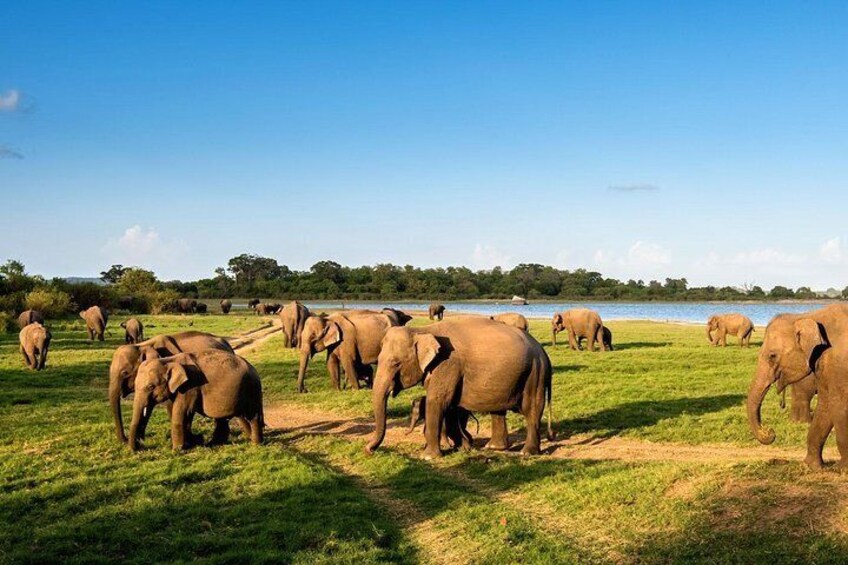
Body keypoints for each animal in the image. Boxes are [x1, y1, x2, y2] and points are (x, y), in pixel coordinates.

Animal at [127, 350, 262, 452]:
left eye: (150, 387)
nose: (140, 447)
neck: (168, 360)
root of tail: (254, 369)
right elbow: (183, 414)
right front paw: (192, 443)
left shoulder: (190, 386)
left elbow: (181, 412)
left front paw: (177, 450)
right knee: (232, 417)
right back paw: (215, 444)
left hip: (252, 390)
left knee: (253, 416)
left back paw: (256, 444)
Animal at [366, 318, 552, 458]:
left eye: (396, 363)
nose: (369, 450)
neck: (421, 330)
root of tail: (544, 353)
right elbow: (451, 405)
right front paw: (463, 447)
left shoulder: (448, 364)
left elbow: (437, 400)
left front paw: (429, 457)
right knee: (498, 410)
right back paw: (494, 448)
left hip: (535, 373)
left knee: (532, 409)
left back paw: (527, 453)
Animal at [744, 302, 848, 470]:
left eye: (772, 356)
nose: (770, 432)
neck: (807, 315)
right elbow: (825, 404)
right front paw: (812, 467)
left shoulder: (840, 363)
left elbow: (840, 405)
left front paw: (842, 469)